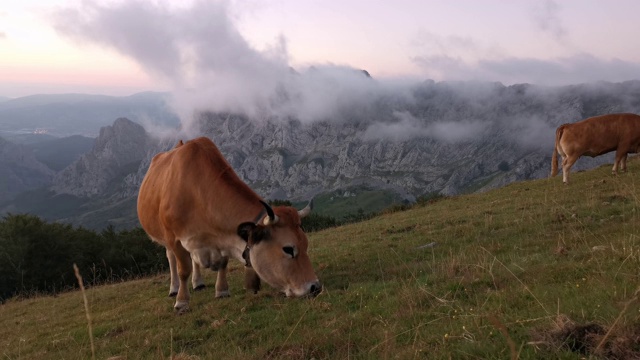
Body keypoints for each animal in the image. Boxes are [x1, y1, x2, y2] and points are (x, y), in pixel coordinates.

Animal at [138, 136, 322, 310]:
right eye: (288, 249)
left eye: (306, 244)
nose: (315, 287)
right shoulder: (175, 239)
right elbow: (183, 270)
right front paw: (181, 302)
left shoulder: (223, 237)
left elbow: (222, 263)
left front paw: (222, 291)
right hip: (164, 236)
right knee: (171, 258)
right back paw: (174, 288)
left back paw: (198, 282)